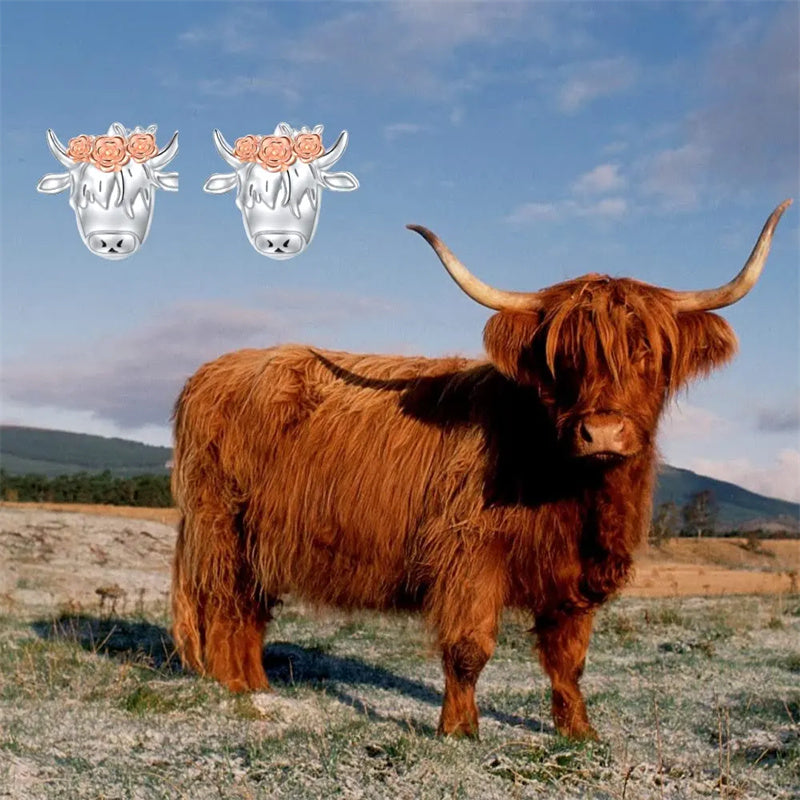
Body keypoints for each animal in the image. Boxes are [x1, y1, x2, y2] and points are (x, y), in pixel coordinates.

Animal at [171, 201, 791, 740]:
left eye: (646, 353)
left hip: (260, 541)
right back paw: (240, 690)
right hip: (222, 528)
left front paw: (579, 731)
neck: (570, 489)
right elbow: (470, 648)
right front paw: (459, 729)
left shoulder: (574, 577)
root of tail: (212, 370)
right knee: (226, 608)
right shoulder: (469, 555)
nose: (603, 433)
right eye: (565, 356)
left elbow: (570, 660)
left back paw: (259, 685)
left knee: (251, 611)